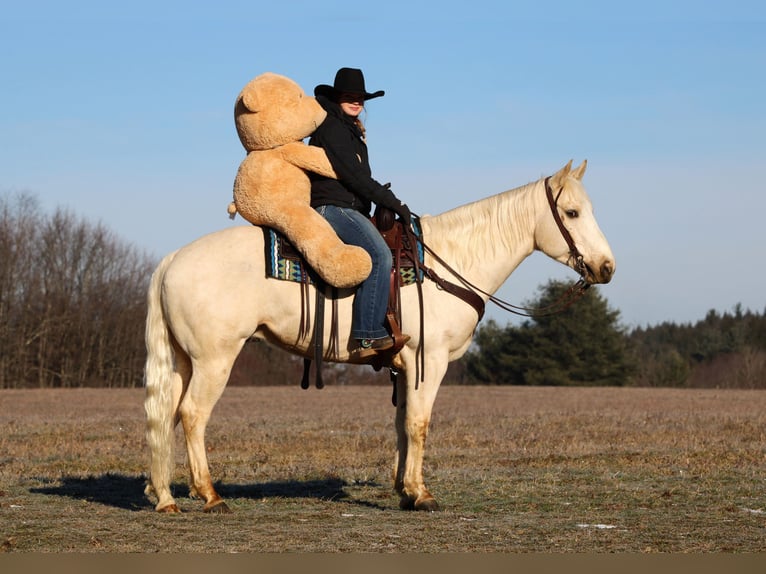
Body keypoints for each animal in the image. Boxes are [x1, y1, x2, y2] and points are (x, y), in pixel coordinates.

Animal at [143, 159, 615, 513]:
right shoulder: (430, 361)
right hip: (214, 360)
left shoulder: (405, 368)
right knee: (192, 415)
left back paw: (165, 496)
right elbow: (419, 424)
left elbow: (401, 425)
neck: (449, 262)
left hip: (184, 361)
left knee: (166, 416)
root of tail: (173, 258)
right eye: (572, 213)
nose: (606, 267)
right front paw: (422, 494)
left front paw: (404, 489)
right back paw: (210, 495)